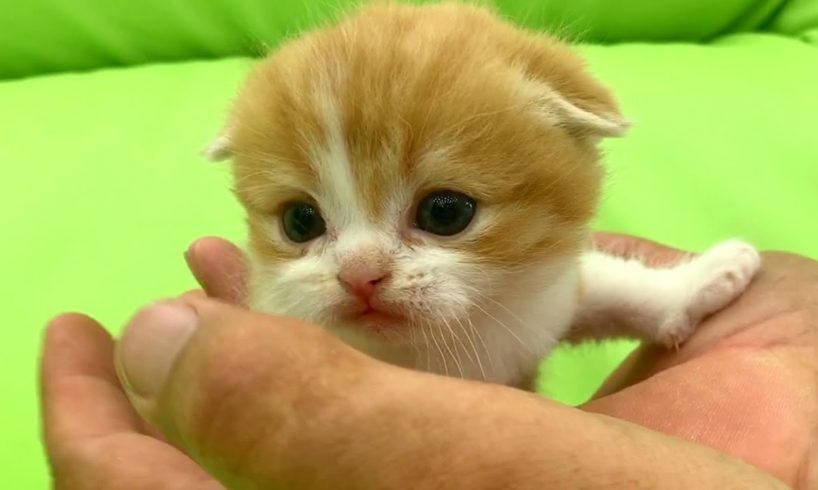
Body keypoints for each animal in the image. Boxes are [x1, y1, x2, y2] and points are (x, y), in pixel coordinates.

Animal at [202, 1, 760, 388]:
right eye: (300, 222)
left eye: (445, 213)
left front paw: (700, 281)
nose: (360, 275)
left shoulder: (539, 305)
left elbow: (606, 284)